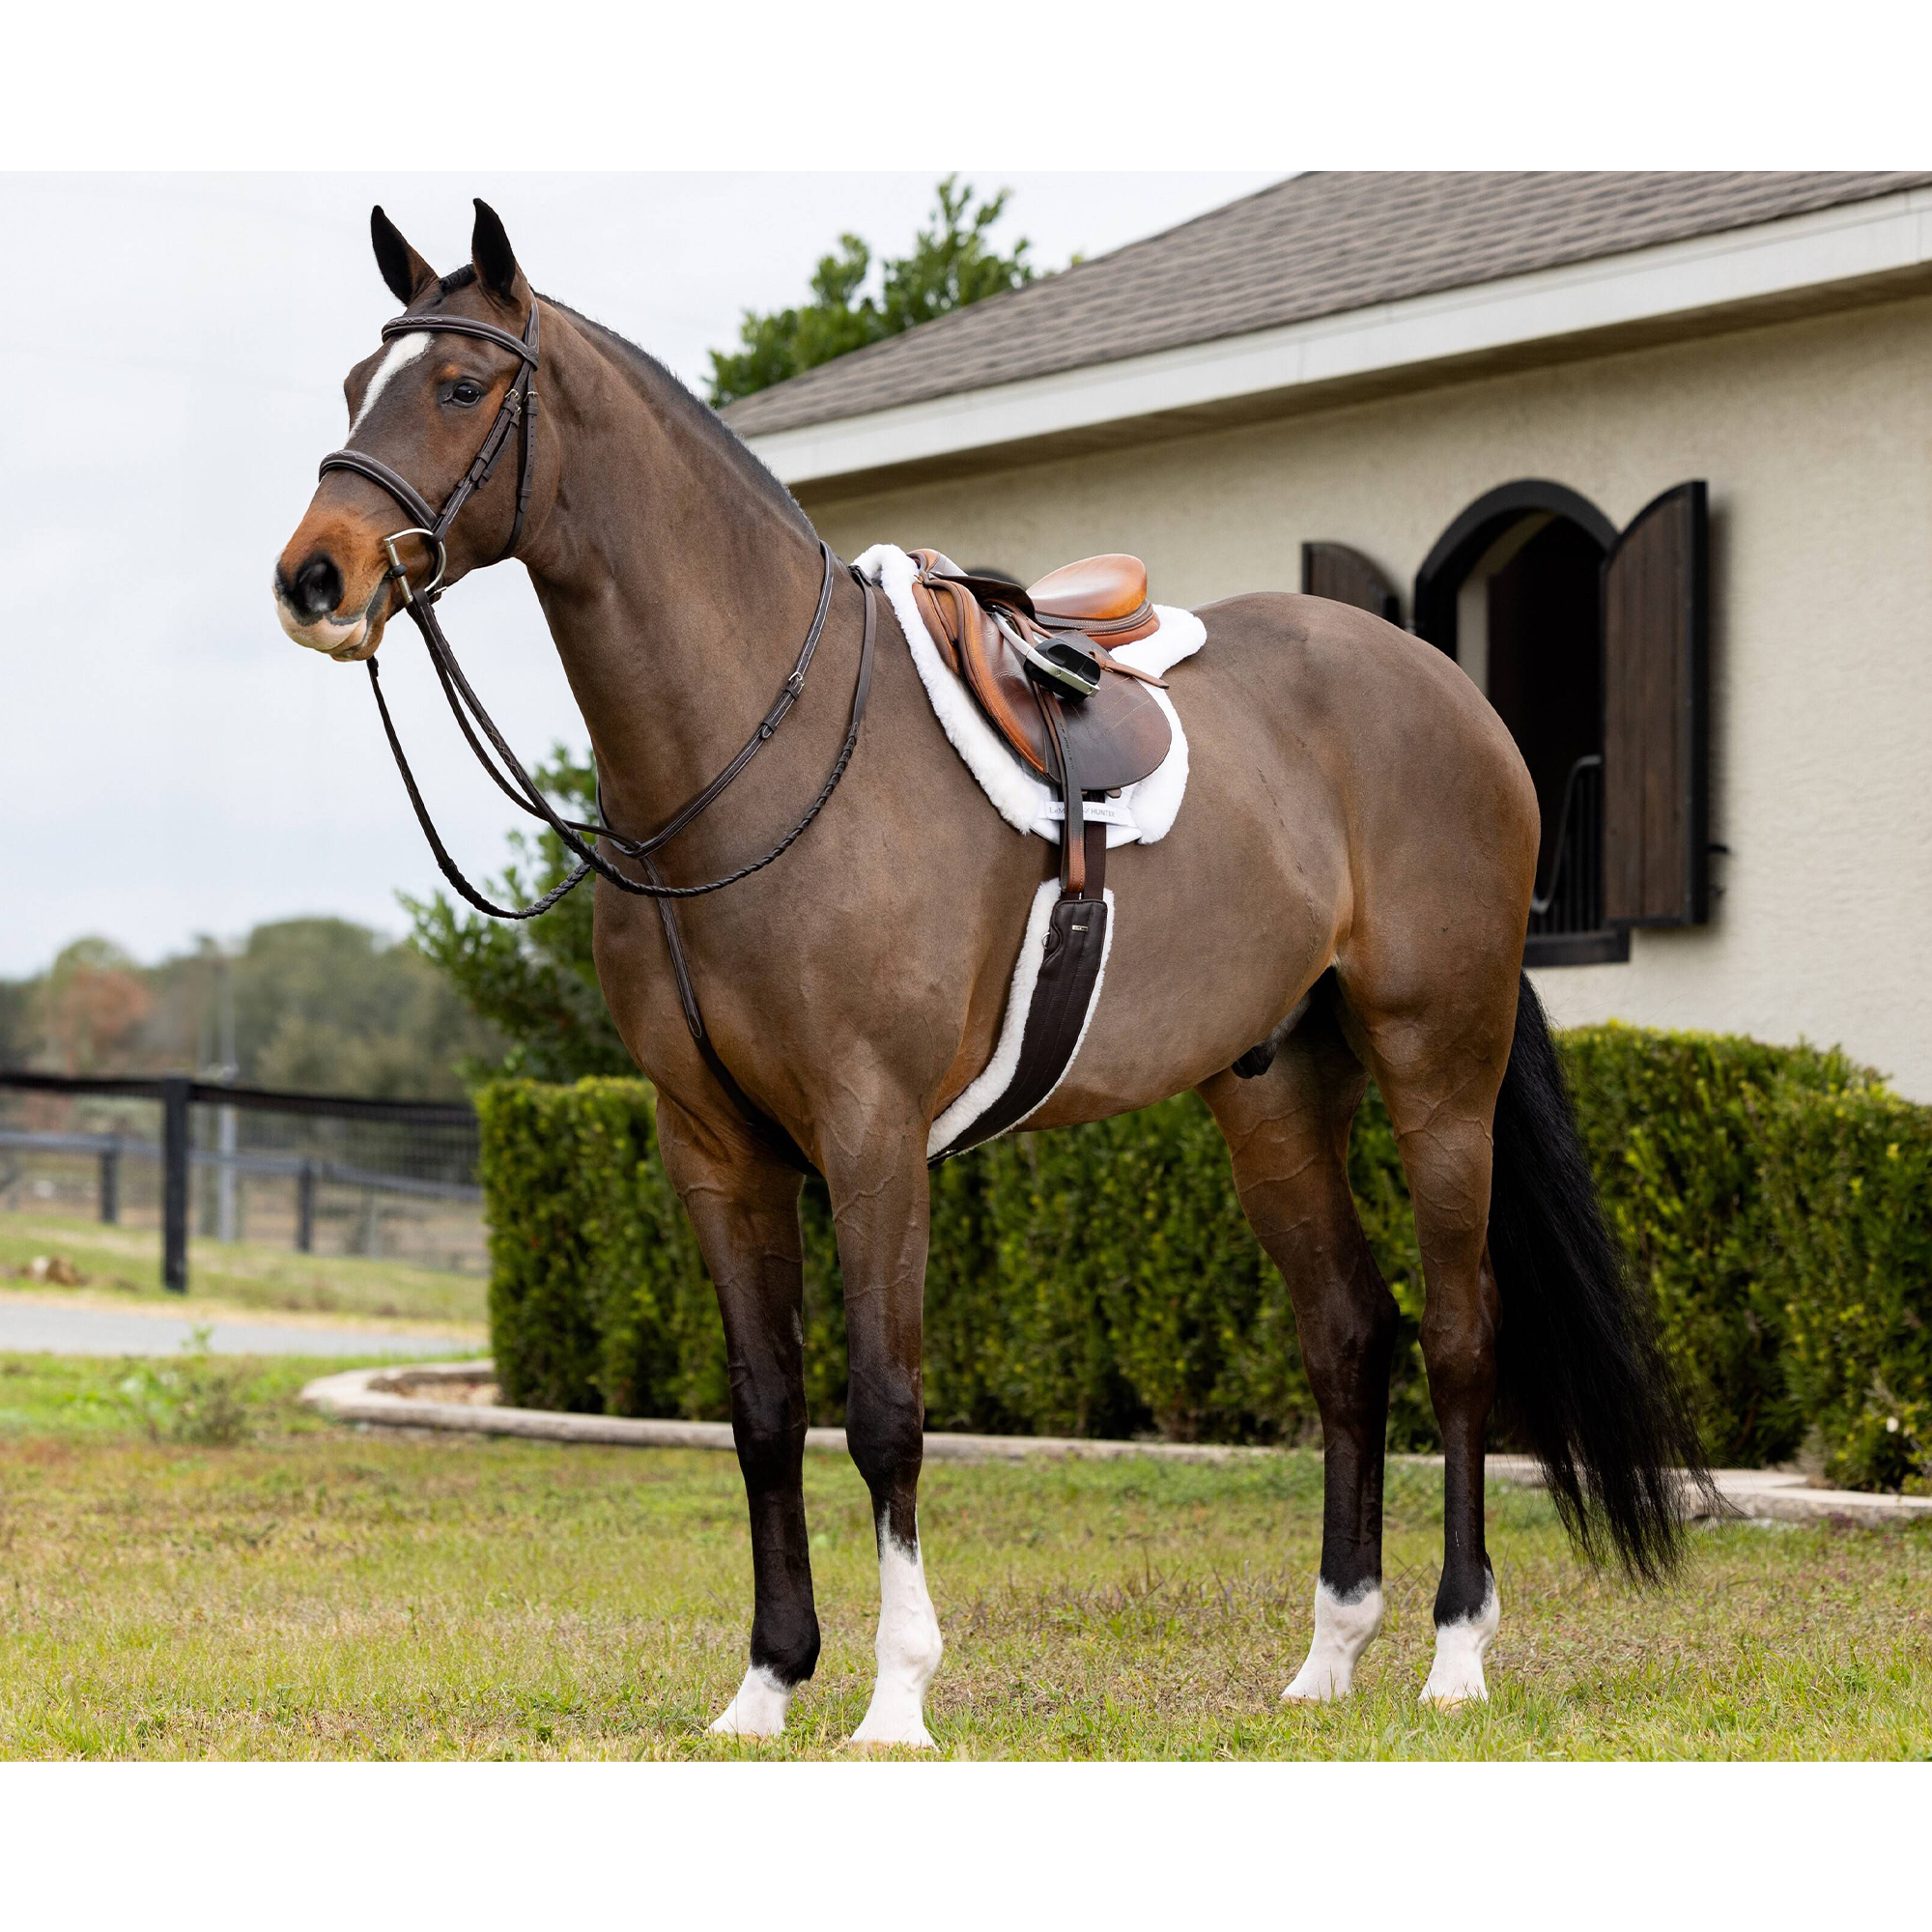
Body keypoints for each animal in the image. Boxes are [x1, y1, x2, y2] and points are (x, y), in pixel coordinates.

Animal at [276, 204, 1708, 1747]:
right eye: (351, 384)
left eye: (461, 387)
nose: (315, 577)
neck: (758, 749)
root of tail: (1454, 699)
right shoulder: (712, 1143)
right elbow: (764, 1407)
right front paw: (766, 1682)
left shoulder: (872, 1131)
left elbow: (884, 1407)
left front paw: (896, 1695)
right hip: (1271, 1096)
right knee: (1349, 1339)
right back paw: (1328, 1656)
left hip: (1438, 1066)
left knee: (1455, 1339)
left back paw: (1453, 1655)